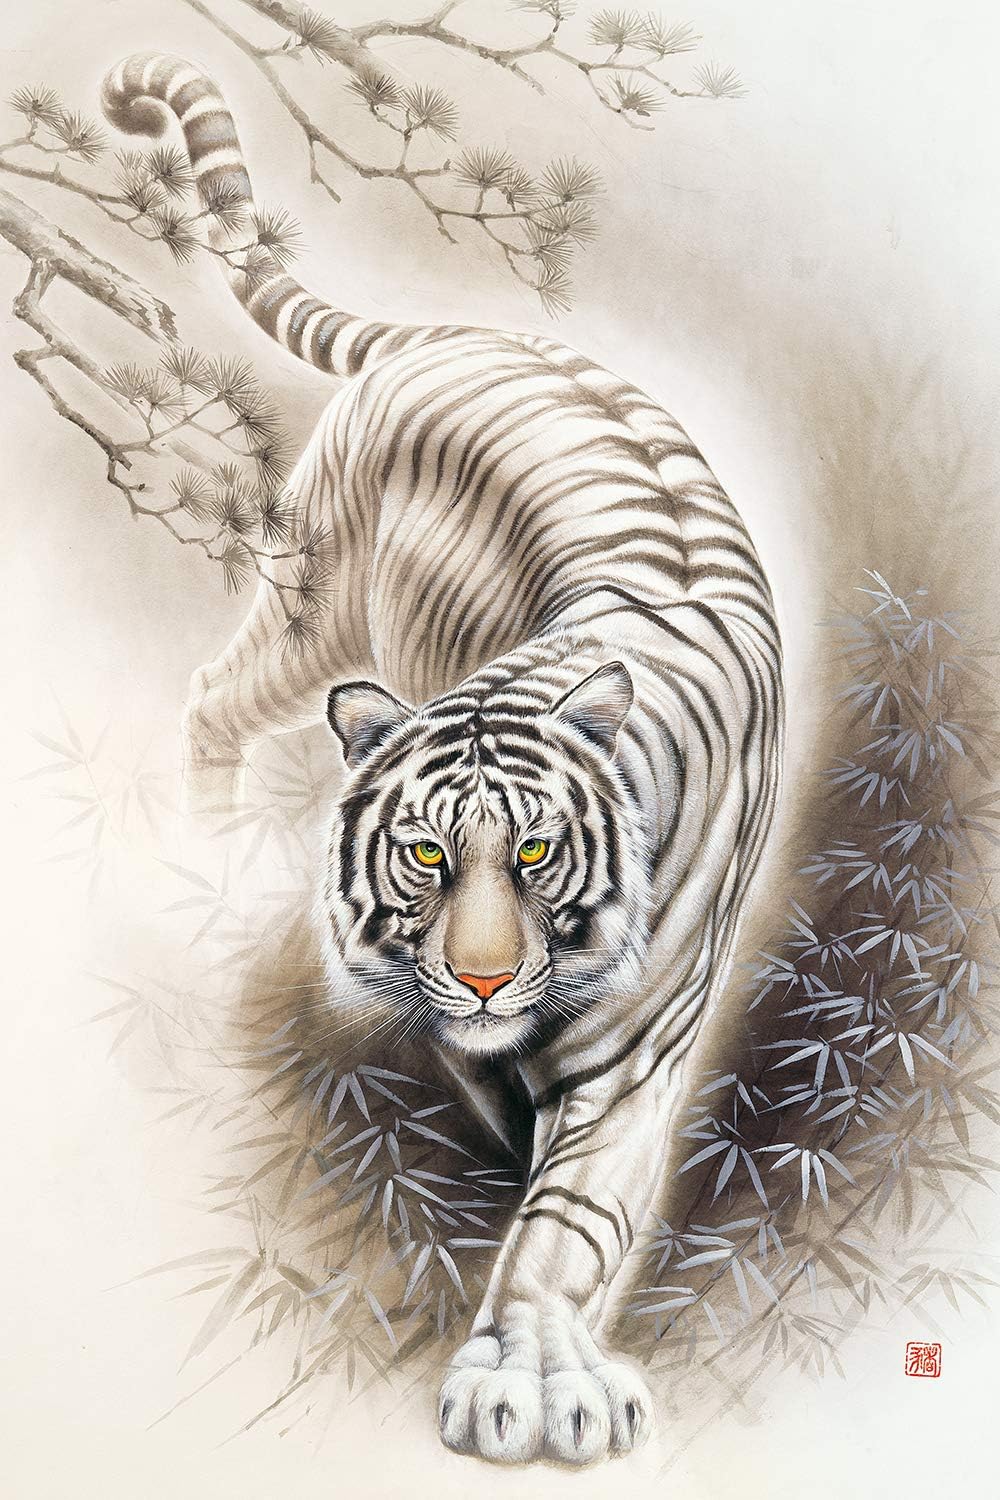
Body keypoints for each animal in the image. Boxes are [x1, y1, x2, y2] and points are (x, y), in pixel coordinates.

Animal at [102, 52, 784, 1465]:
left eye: (536, 849)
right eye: (422, 853)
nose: (477, 979)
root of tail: (463, 333)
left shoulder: (632, 1060)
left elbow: (564, 1227)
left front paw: (535, 1375)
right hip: (313, 611)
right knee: (209, 702)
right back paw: (190, 859)